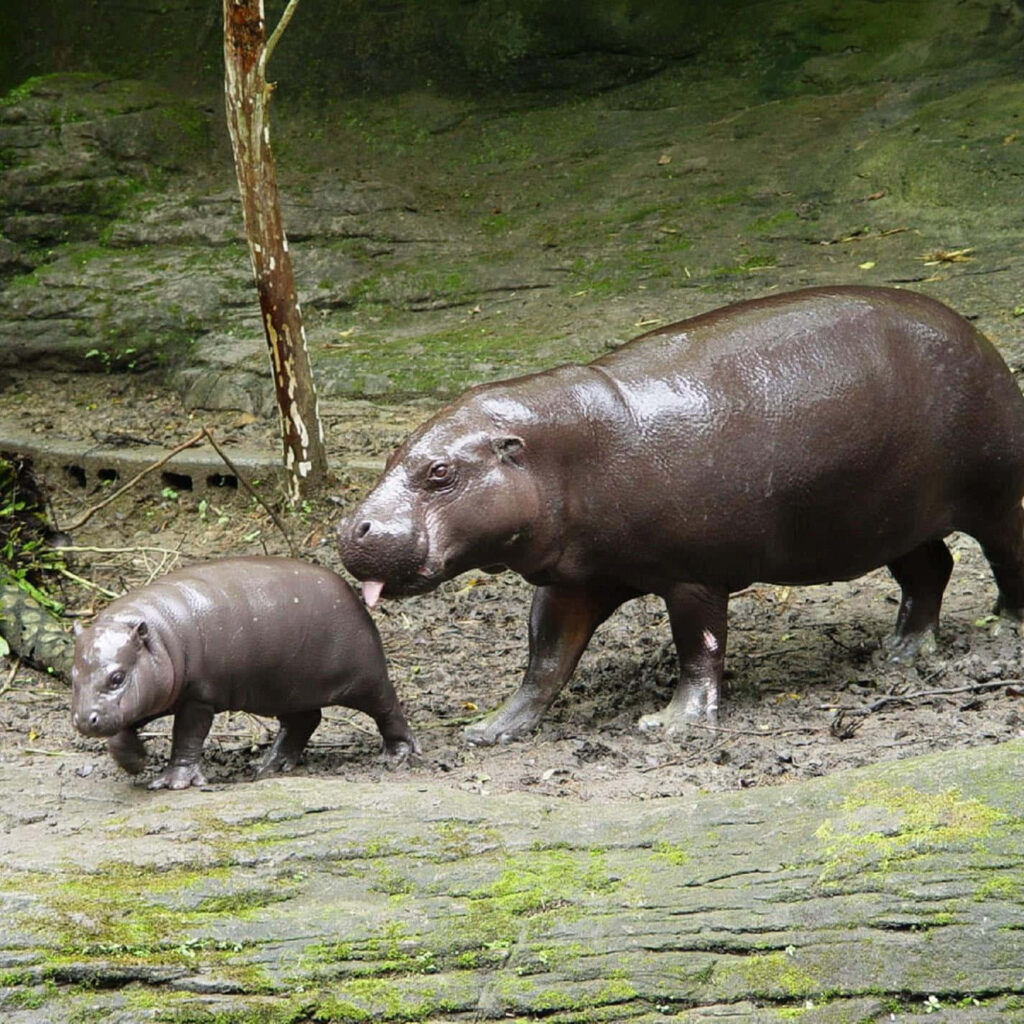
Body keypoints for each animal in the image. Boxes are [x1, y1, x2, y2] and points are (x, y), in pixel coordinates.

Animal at [71, 556, 417, 788]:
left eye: (117, 677)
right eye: (73, 676)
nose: (83, 720)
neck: (156, 635)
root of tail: (351, 593)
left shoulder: (199, 697)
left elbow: (187, 737)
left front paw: (173, 782)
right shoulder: (151, 696)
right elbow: (120, 732)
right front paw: (136, 763)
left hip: (364, 678)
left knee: (387, 706)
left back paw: (397, 755)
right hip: (284, 689)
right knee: (304, 720)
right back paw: (268, 767)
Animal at [337, 285, 1024, 743]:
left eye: (440, 472)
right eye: (393, 451)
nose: (353, 529)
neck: (561, 449)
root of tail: (975, 333)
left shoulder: (694, 577)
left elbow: (699, 648)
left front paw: (671, 725)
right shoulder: (573, 580)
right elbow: (546, 658)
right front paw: (491, 728)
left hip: (993, 492)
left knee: (1004, 553)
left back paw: (1003, 629)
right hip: (890, 518)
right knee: (929, 569)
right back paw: (900, 653)